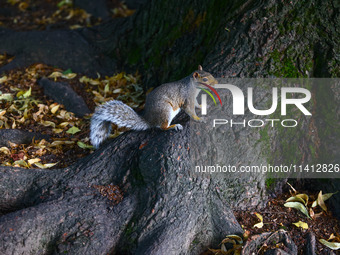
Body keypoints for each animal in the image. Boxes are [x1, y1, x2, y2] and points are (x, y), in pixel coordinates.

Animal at [90, 65, 218, 148]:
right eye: (205, 79)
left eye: (210, 74)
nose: (216, 83)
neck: (192, 86)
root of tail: (149, 120)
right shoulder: (187, 98)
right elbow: (190, 110)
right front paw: (199, 119)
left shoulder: (193, 98)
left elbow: (196, 104)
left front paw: (202, 106)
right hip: (165, 110)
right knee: (162, 127)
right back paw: (174, 126)